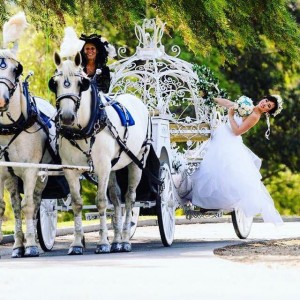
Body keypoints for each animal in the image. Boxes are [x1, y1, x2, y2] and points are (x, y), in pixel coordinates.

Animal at [0, 49, 56, 258]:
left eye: (15, 70)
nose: (1, 99)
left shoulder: (31, 170)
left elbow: (29, 205)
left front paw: (31, 245)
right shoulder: (6, 173)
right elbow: (12, 207)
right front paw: (18, 245)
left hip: (43, 174)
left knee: (37, 201)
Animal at [50, 51, 151, 253]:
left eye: (80, 84)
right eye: (55, 83)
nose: (66, 117)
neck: (84, 128)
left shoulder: (102, 168)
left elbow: (101, 202)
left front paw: (103, 242)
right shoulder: (71, 170)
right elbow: (77, 204)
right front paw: (76, 244)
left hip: (137, 162)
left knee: (129, 199)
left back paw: (125, 240)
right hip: (113, 168)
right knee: (117, 199)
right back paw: (117, 241)